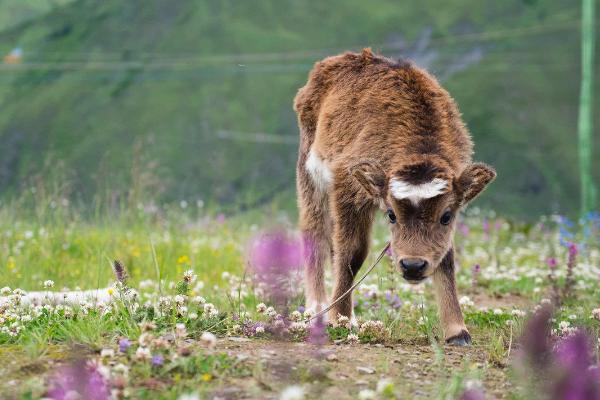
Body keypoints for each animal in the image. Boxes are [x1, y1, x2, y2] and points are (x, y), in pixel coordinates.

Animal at [292, 49, 494, 344]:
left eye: (446, 216)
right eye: (391, 214)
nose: (412, 265)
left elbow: (446, 258)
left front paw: (457, 331)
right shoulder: (347, 188)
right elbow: (352, 252)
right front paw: (340, 320)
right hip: (311, 177)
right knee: (315, 233)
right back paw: (318, 307)